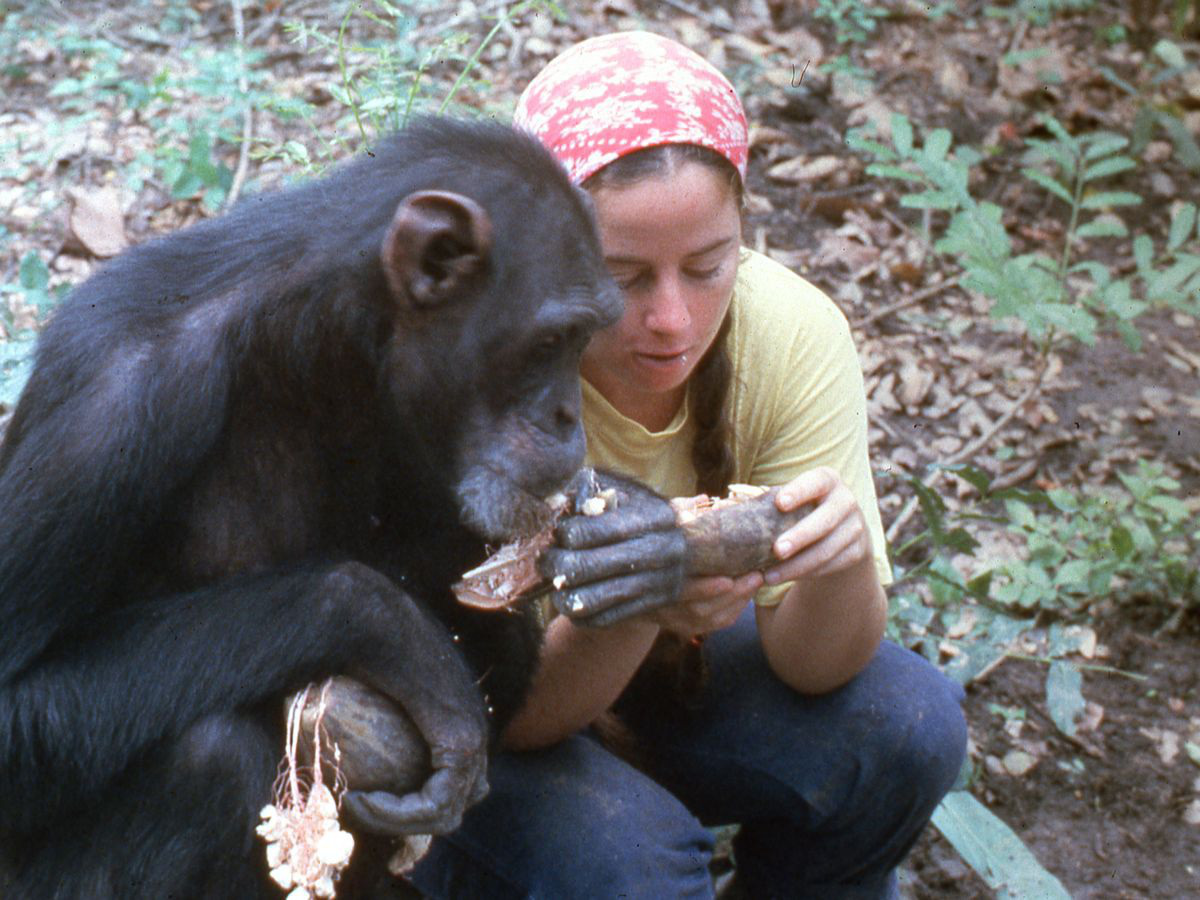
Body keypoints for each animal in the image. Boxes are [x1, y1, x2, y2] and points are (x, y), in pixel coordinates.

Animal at [0, 120, 657, 900]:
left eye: (585, 340)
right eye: (553, 339)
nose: (567, 415)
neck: (319, 331)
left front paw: (632, 531)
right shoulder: (105, 410)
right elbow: (12, 700)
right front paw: (386, 628)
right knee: (209, 758)